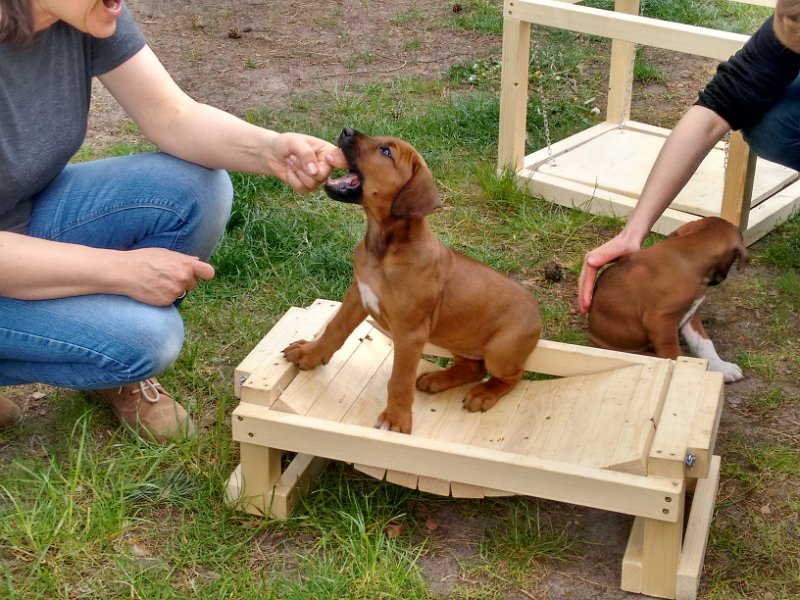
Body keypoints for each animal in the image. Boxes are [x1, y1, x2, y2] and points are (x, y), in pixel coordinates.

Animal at [282, 128, 542, 433]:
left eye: (386, 152)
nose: (346, 130)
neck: (382, 251)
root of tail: (537, 311)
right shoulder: (358, 294)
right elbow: (336, 327)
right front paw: (310, 354)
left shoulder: (409, 335)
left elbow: (399, 379)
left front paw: (396, 419)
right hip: (458, 339)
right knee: (474, 368)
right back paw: (437, 380)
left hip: (500, 352)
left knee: (512, 377)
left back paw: (484, 394)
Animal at [587, 216, 748, 382]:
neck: (687, 254)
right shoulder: (661, 322)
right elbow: (673, 353)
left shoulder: (690, 314)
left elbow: (704, 343)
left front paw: (722, 367)